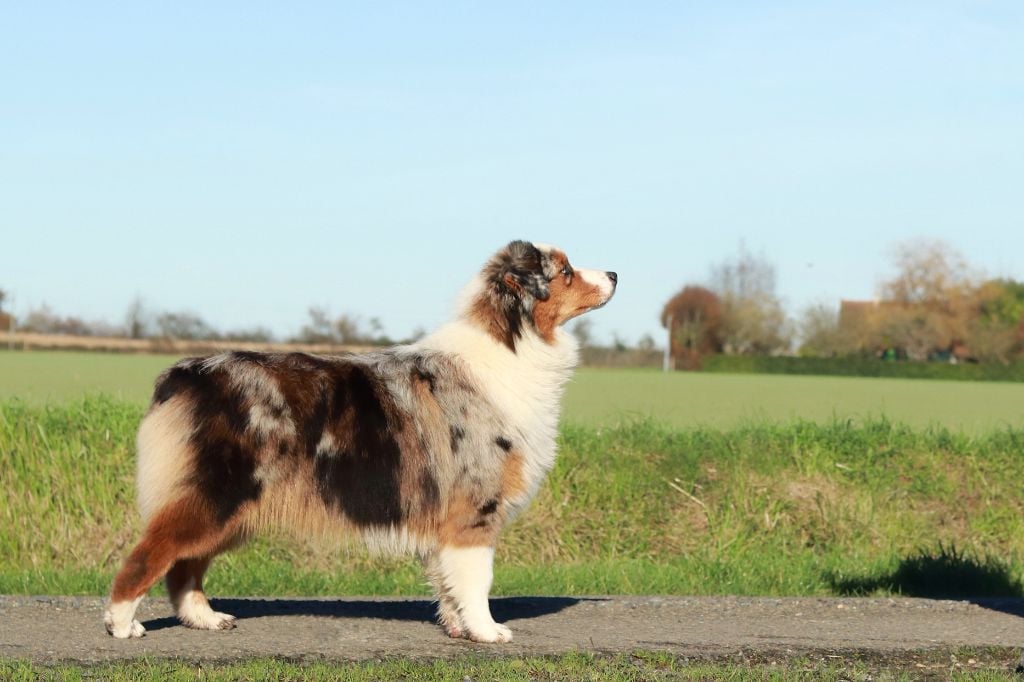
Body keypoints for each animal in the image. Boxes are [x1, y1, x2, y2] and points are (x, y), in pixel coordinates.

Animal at [103, 240, 614, 643]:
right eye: (565, 271)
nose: (614, 273)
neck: (511, 344)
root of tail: (184, 374)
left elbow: (448, 581)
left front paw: (457, 628)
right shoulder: (475, 509)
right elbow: (477, 579)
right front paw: (488, 632)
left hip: (230, 508)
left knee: (184, 567)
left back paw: (205, 619)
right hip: (217, 495)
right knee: (150, 556)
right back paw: (123, 624)